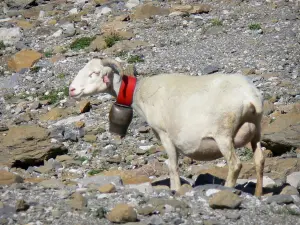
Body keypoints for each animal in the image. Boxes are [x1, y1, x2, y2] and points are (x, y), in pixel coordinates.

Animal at [69, 57, 264, 197]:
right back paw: (258, 194)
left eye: (94, 73)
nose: (71, 90)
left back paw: (228, 189)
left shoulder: (165, 134)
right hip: (256, 131)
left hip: (223, 134)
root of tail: (250, 96)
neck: (140, 93)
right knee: (259, 160)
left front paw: (175, 189)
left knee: (235, 164)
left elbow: (172, 166)